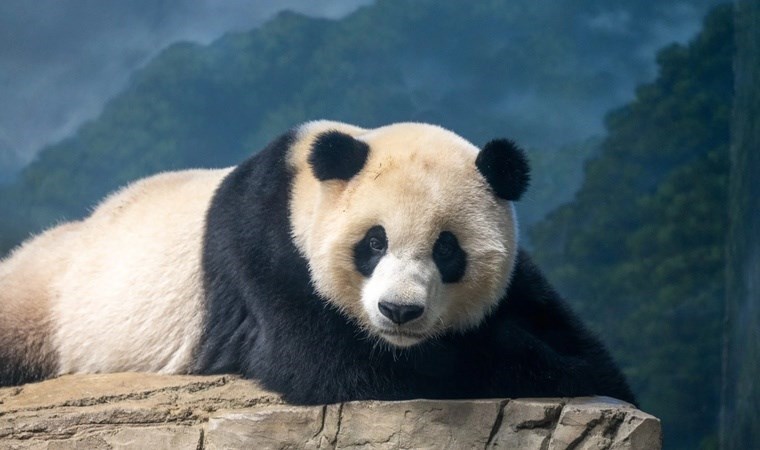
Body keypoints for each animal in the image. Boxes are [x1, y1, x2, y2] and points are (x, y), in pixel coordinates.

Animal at [0, 120, 636, 405]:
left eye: (447, 249)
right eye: (374, 243)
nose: (399, 312)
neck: (305, 180)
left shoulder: (521, 279)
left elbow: (584, 348)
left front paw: (585, 370)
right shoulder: (264, 254)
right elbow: (333, 363)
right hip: (46, 302)